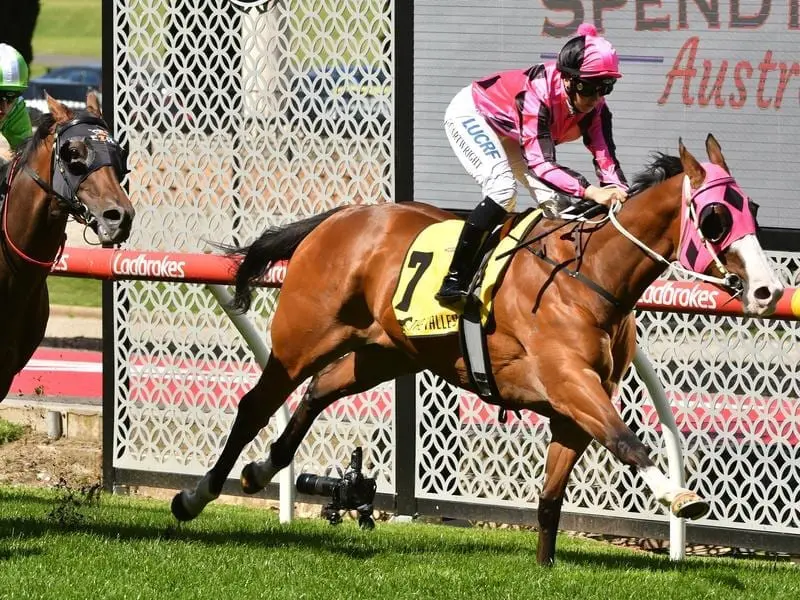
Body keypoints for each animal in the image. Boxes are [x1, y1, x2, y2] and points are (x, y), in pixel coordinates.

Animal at [172, 135, 783, 566]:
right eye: (715, 218)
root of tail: (340, 217)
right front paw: (679, 496)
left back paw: (259, 472)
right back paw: (196, 496)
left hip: (384, 353)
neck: (589, 275)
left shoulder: (571, 411)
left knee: (320, 391)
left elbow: (551, 497)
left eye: (752, 207)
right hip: (302, 341)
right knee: (255, 404)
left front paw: (545, 568)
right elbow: (627, 441)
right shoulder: (570, 384)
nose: (768, 290)